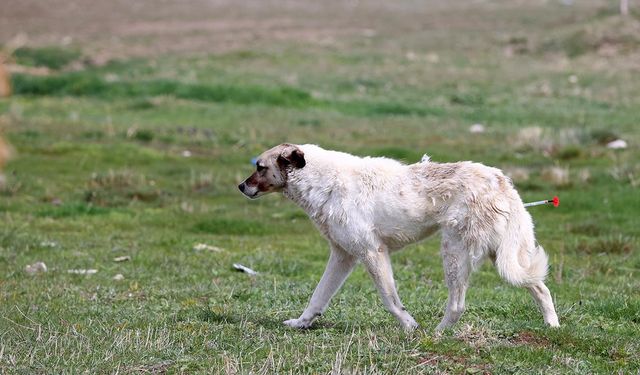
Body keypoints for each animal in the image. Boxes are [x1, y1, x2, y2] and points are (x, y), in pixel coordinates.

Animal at [238, 144, 556, 332]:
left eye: (260, 167)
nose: (240, 186)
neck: (322, 180)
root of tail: (501, 181)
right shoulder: (343, 256)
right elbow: (318, 297)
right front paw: (300, 323)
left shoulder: (372, 252)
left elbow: (389, 299)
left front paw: (409, 325)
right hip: (499, 254)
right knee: (540, 288)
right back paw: (553, 326)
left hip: (455, 253)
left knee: (457, 305)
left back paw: (436, 334)